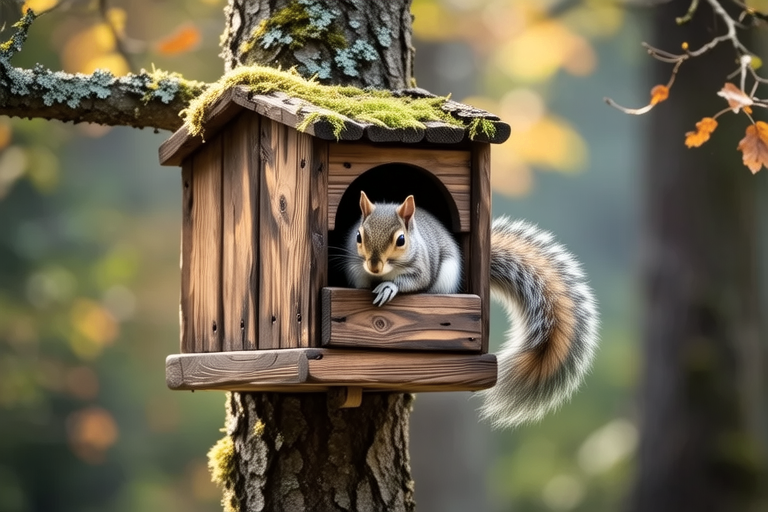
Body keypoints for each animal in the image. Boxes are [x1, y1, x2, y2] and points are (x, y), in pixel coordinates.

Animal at [344, 191, 599, 428]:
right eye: (358, 235)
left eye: (401, 240)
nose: (374, 266)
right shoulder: (356, 266)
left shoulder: (422, 268)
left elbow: (414, 282)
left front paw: (389, 287)